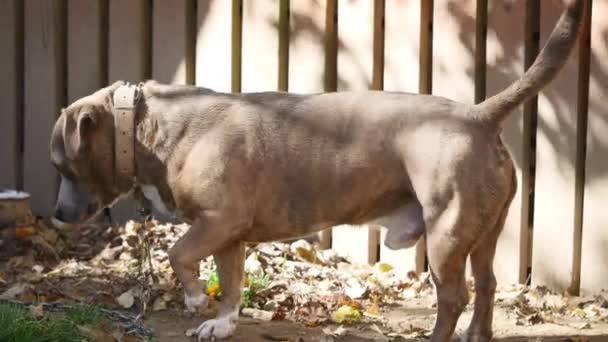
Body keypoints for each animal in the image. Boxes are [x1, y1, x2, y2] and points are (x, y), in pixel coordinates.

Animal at [51, 1, 584, 340]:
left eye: (63, 163)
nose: (57, 214)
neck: (144, 123)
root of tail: (478, 115)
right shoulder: (228, 235)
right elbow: (232, 282)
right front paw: (221, 321)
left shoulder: (218, 221)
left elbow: (178, 254)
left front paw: (194, 299)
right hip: (484, 231)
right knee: (488, 285)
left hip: (447, 233)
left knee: (454, 296)